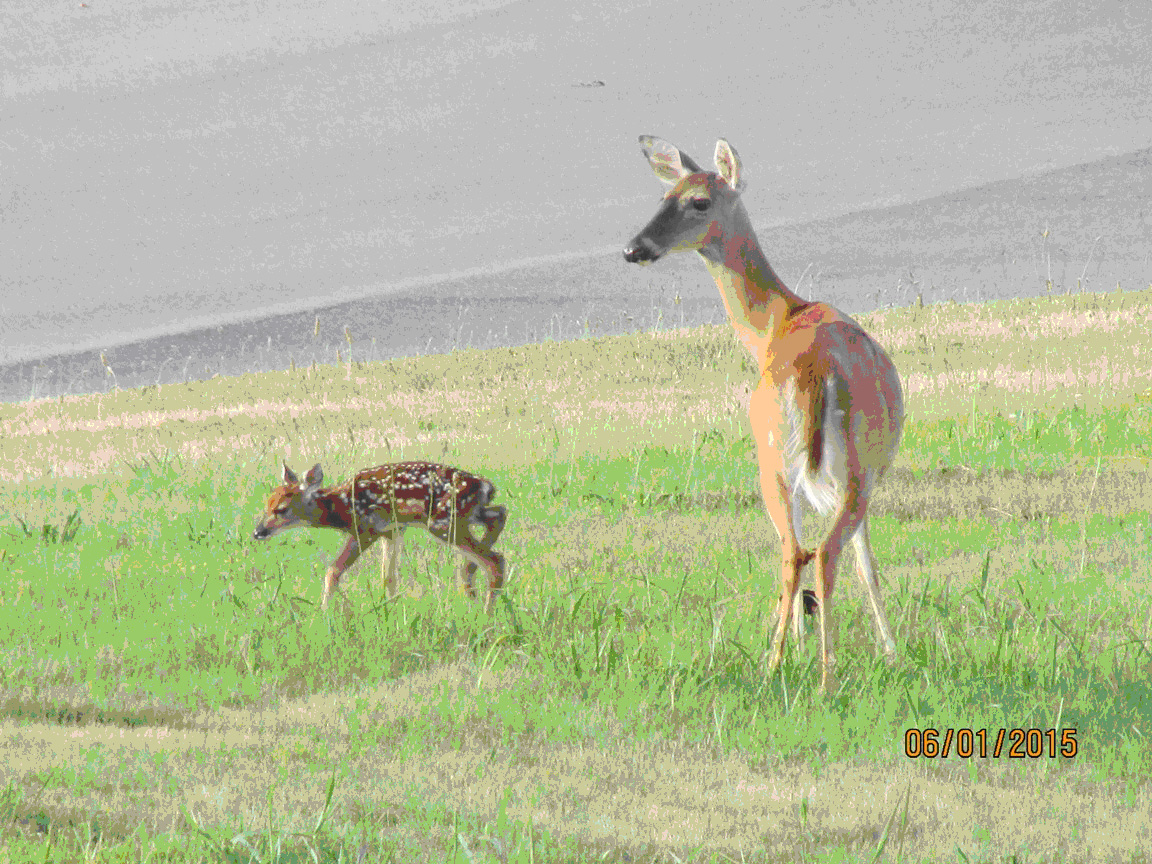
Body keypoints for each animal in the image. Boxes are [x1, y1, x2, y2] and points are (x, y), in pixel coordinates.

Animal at [254, 461, 507, 612]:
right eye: (266, 504)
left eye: (282, 509)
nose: (258, 532)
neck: (342, 506)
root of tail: (485, 485)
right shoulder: (392, 531)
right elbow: (388, 577)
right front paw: (391, 614)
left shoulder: (366, 528)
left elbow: (333, 571)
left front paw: (322, 616)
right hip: (468, 514)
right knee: (500, 514)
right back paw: (469, 584)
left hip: (443, 522)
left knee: (495, 560)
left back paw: (484, 614)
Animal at [623, 136, 903, 692]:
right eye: (664, 196)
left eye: (698, 201)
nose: (634, 248)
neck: (776, 321)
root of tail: (815, 368)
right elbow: (867, 561)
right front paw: (886, 650)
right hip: (835, 464)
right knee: (819, 553)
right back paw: (816, 672)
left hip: (780, 457)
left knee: (799, 552)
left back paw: (782, 666)